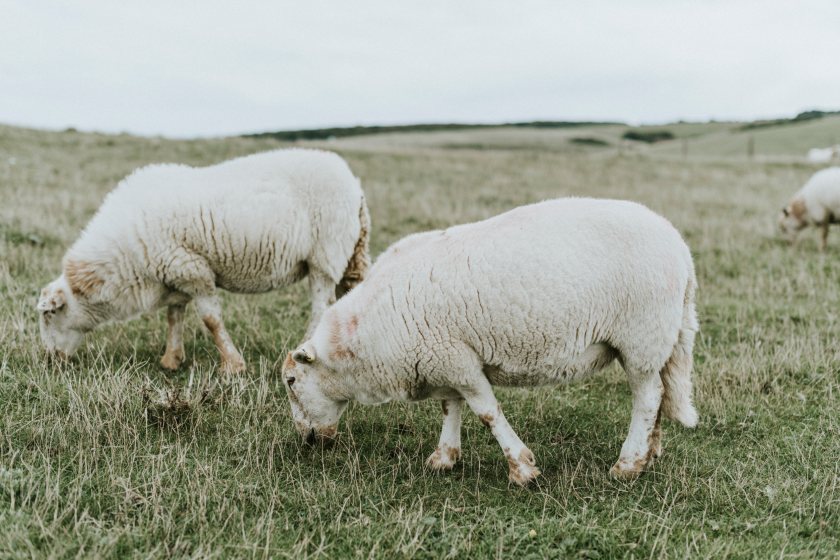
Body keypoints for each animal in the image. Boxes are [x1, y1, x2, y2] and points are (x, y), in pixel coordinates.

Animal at [37, 149, 370, 373]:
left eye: (49, 315)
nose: (49, 360)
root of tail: (354, 184)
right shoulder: (175, 273)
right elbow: (174, 316)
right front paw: (171, 360)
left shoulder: (193, 270)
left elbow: (211, 320)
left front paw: (232, 366)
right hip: (351, 253)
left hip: (325, 254)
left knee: (321, 305)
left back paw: (305, 346)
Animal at [282, 198, 699, 484]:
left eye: (290, 381)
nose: (306, 441)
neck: (365, 337)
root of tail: (681, 248)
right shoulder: (443, 355)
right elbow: (450, 407)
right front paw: (444, 458)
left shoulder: (457, 360)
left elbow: (486, 412)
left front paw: (522, 469)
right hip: (655, 341)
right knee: (660, 394)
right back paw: (649, 454)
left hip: (642, 336)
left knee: (647, 398)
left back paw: (627, 465)